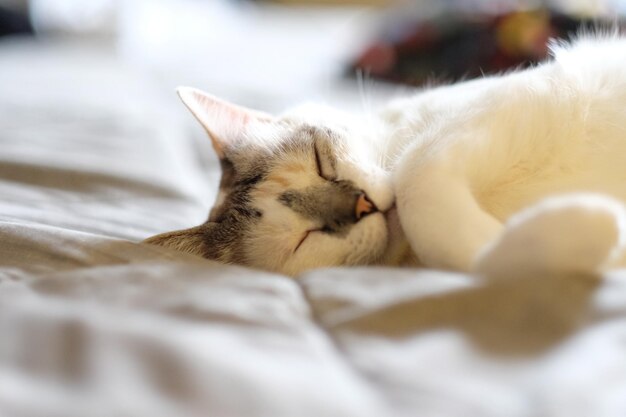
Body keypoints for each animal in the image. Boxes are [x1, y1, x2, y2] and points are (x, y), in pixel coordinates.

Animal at [144, 35, 624, 276]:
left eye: (321, 161)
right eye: (302, 239)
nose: (362, 205)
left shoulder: (507, 100)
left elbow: (414, 176)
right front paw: (579, 233)